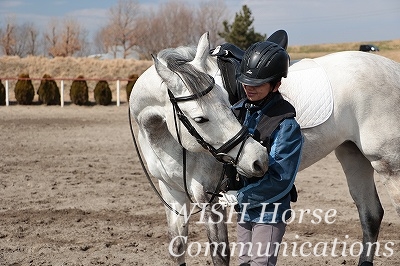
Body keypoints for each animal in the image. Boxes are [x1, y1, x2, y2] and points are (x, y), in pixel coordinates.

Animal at [130, 33, 400, 266]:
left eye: (227, 102)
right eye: (200, 119)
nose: (258, 158)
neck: (163, 137)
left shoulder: (210, 199)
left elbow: (220, 254)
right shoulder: (172, 194)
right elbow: (177, 248)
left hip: (388, 165)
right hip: (353, 156)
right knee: (370, 215)